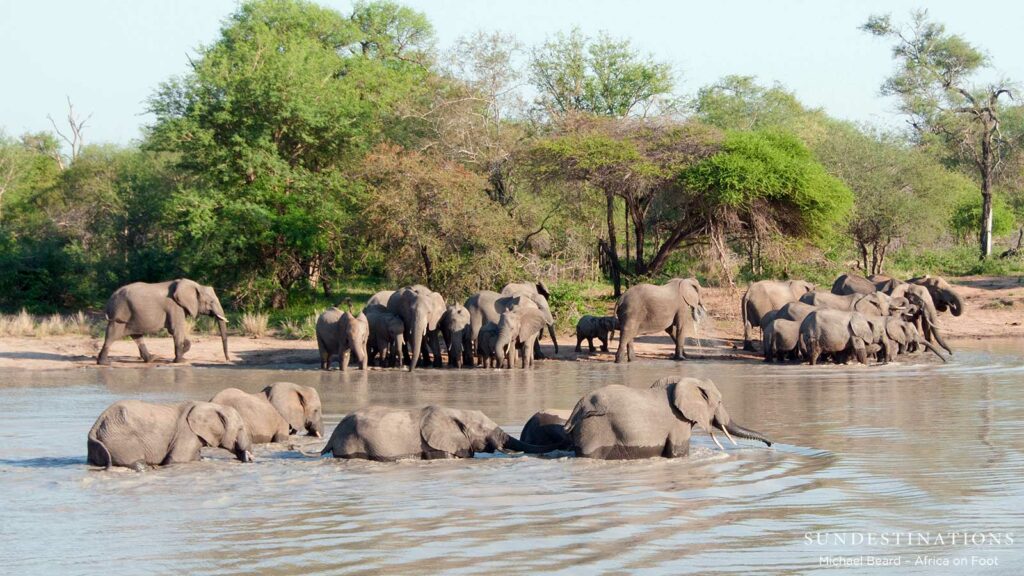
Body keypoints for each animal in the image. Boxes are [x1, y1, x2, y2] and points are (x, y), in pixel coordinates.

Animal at [87, 400, 253, 470]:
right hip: (122, 441)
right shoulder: (187, 433)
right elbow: (177, 460)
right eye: (240, 428)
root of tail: (95, 427)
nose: (250, 459)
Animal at [96, 279, 228, 365]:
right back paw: (104, 363)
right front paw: (180, 361)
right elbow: (176, 329)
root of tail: (111, 297)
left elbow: (177, 331)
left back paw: (152, 358)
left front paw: (183, 349)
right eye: (211, 302)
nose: (227, 359)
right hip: (121, 310)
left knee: (136, 335)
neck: (196, 285)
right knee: (113, 333)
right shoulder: (175, 306)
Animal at [565, 377, 771, 460]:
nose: (771, 444)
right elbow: (677, 453)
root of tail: (580, 406)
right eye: (719, 402)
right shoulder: (678, 423)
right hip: (595, 427)